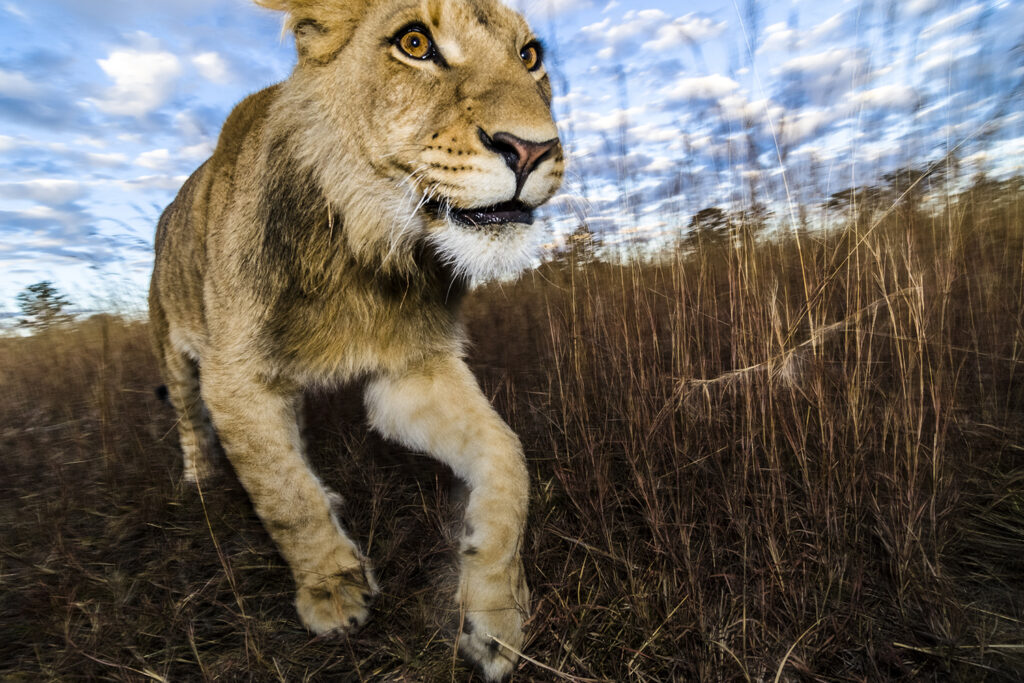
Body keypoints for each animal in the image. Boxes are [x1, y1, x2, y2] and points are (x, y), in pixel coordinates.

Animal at [148, 0, 565, 679]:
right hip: (172, 344)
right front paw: (332, 591)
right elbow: (283, 492)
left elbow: (508, 457)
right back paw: (200, 478)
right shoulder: (233, 378)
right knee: (190, 420)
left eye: (529, 56)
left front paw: (497, 613)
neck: (366, 248)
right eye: (415, 43)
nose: (532, 149)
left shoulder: (412, 372)